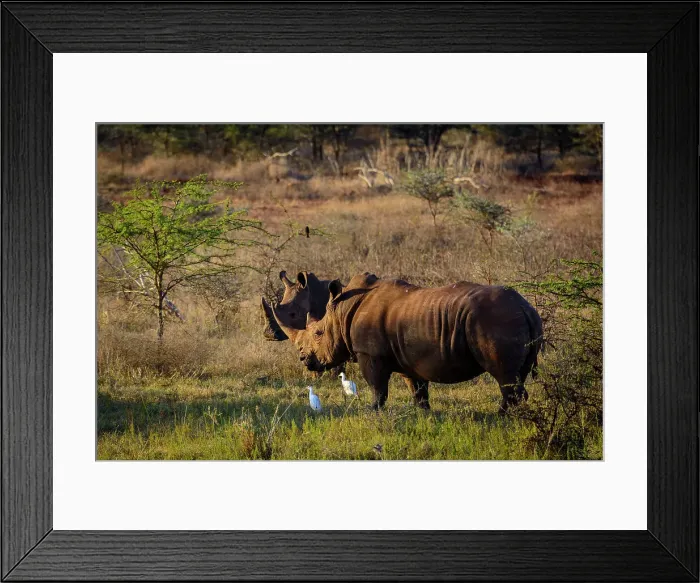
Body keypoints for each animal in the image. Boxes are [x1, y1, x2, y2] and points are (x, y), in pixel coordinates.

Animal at [293, 272, 543, 413]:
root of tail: (525, 307)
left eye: (318, 333)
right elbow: (417, 389)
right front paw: (424, 413)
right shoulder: (408, 357)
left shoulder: (369, 354)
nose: (304, 358)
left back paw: (501, 417)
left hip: (495, 319)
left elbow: (377, 387)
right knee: (517, 375)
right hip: (513, 318)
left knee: (504, 376)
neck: (342, 311)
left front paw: (372, 411)